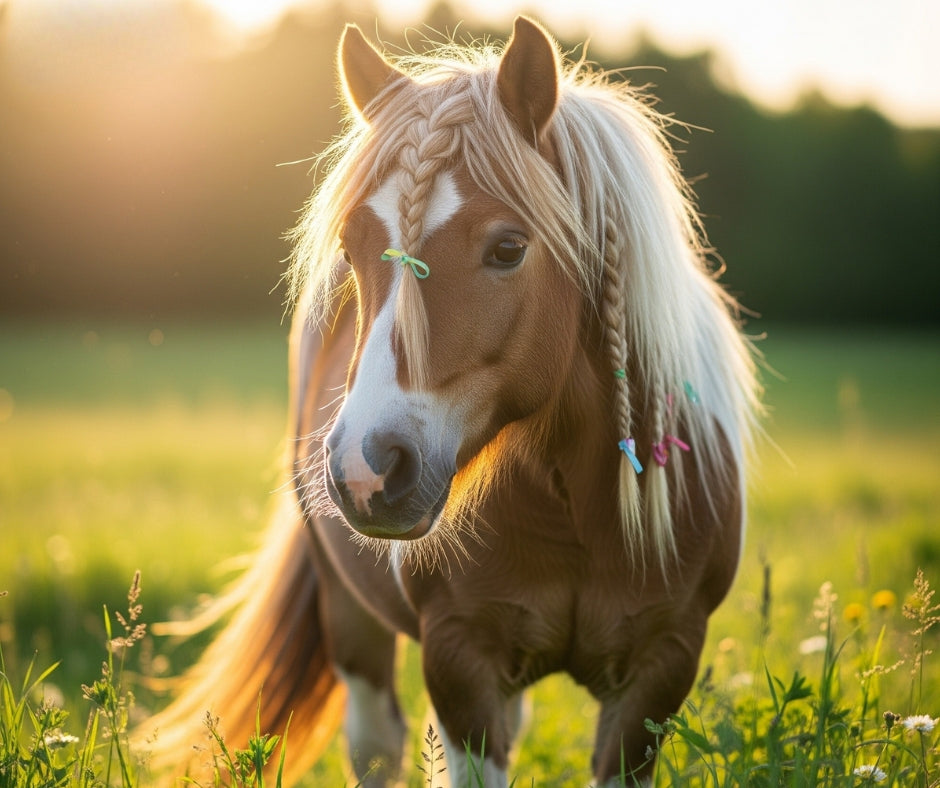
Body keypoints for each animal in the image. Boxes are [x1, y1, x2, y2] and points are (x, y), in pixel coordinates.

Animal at [144, 16, 760, 787]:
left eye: (508, 247)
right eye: (351, 248)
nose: (366, 468)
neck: (575, 506)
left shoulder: (660, 668)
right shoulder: (460, 662)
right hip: (351, 617)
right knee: (376, 743)